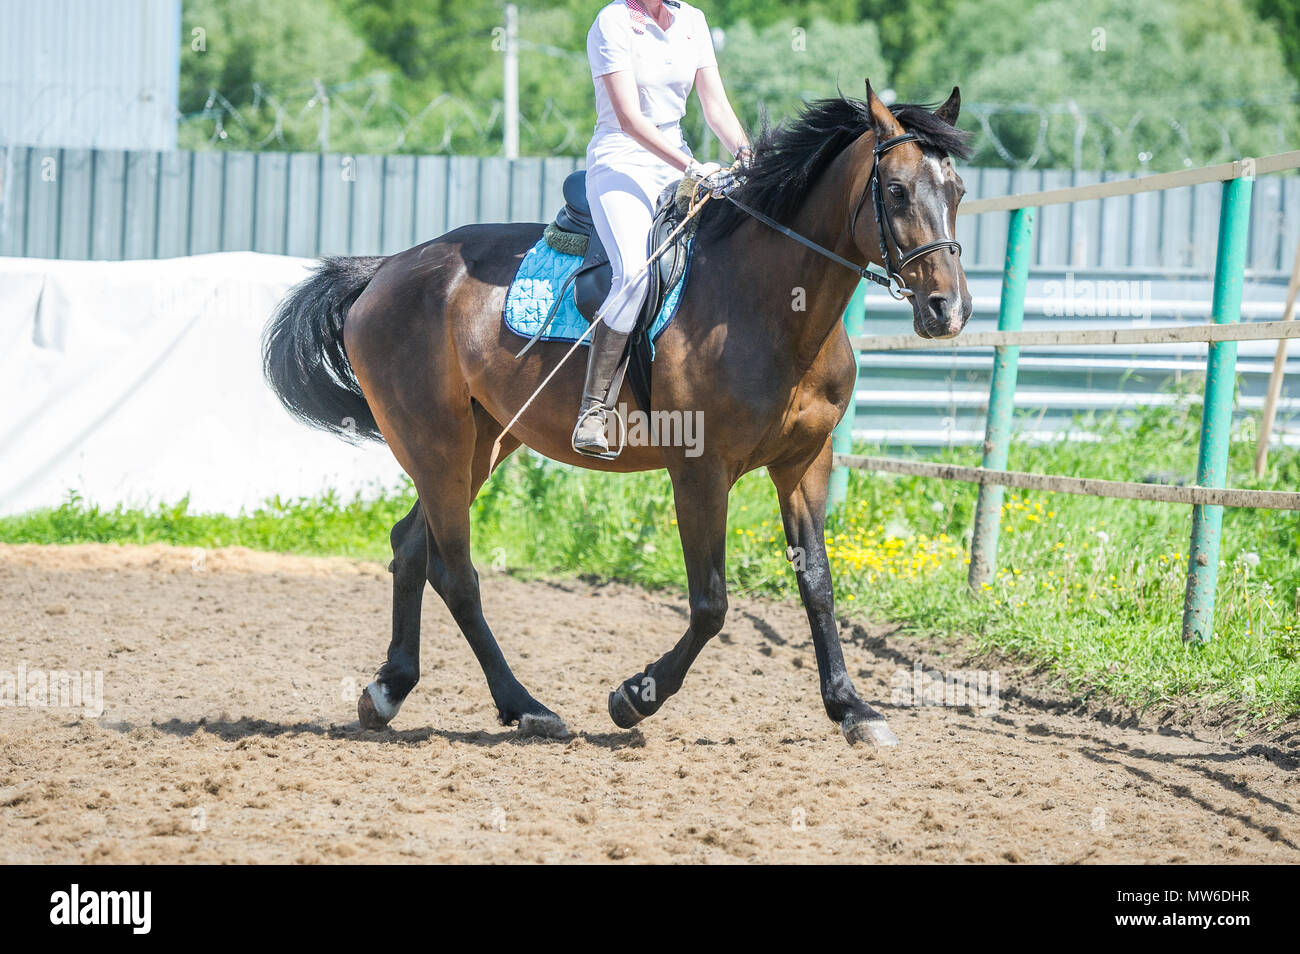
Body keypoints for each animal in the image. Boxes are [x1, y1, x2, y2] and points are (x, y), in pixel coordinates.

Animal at [263, 82, 972, 748]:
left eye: (958, 190)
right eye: (897, 191)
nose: (949, 310)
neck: (773, 304)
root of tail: (387, 269)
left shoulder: (806, 463)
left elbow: (818, 585)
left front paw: (853, 709)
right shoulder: (699, 470)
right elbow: (711, 602)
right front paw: (635, 697)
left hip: (481, 444)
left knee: (412, 546)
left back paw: (389, 690)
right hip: (435, 443)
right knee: (455, 571)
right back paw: (526, 706)